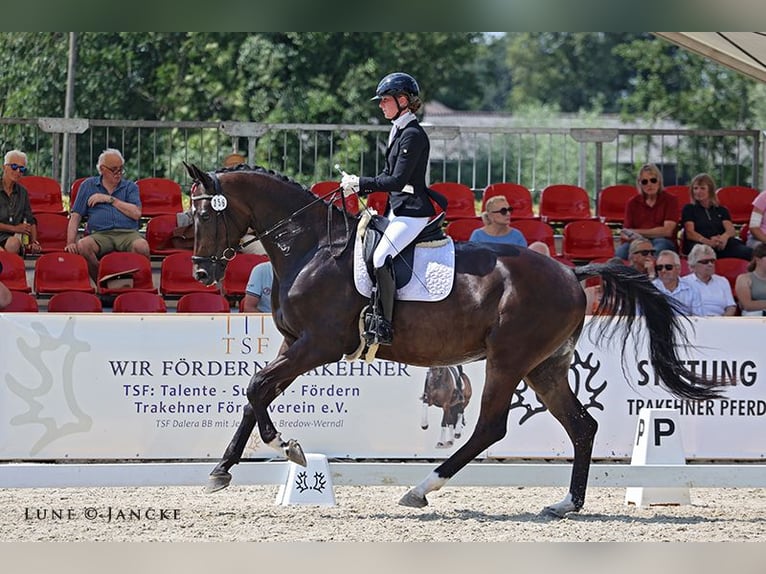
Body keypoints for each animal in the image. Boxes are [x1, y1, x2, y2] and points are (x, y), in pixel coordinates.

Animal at [184, 164, 728, 520]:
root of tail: (571, 274)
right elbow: (255, 393)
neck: (312, 247)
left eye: (205, 216)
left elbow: (257, 388)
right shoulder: (293, 343)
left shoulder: (318, 344)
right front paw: (222, 470)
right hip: (545, 367)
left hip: (509, 360)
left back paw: (421, 489)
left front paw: (289, 449)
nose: (202, 273)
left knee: (490, 428)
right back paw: (566, 504)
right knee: (581, 426)